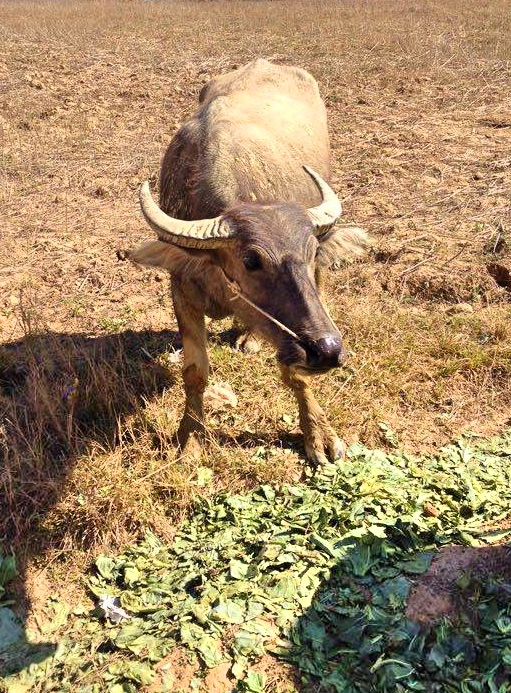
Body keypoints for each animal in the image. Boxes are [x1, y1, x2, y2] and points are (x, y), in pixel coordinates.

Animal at [128, 59, 368, 464]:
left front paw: (318, 434)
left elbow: (296, 374)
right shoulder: (182, 288)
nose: (327, 350)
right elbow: (195, 371)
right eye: (251, 260)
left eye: (311, 252)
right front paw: (191, 437)